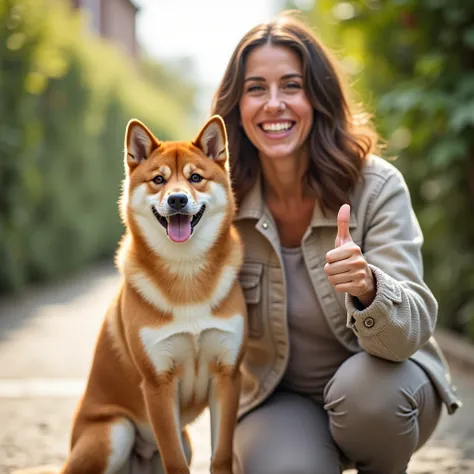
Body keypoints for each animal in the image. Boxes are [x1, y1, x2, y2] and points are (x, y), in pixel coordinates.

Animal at [60, 115, 248, 474]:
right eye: (158, 180)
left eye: (195, 178)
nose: (177, 200)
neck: (186, 274)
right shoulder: (158, 384)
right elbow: (173, 460)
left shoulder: (227, 376)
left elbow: (220, 455)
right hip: (114, 432)